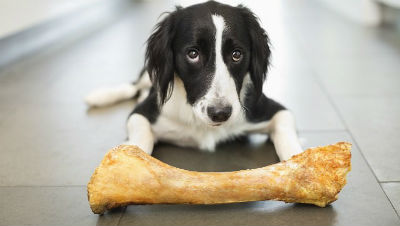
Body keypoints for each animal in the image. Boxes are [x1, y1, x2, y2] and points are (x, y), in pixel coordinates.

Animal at [85, 0, 304, 162]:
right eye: (193, 54)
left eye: (237, 54)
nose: (220, 113)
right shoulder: (141, 113)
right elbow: (141, 136)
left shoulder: (273, 110)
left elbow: (287, 134)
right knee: (133, 86)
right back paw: (100, 96)